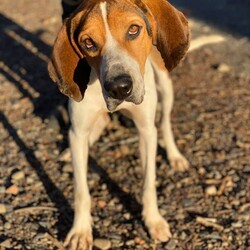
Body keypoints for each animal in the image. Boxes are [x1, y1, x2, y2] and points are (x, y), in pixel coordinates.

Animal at [48, 0, 189, 248]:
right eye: (88, 42)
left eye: (133, 29)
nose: (119, 88)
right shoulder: (78, 132)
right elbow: (81, 191)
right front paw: (80, 231)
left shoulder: (145, 131)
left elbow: (148, 183)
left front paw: (153, 221)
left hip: (165, 85)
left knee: (164, 123)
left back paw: (174, 156)